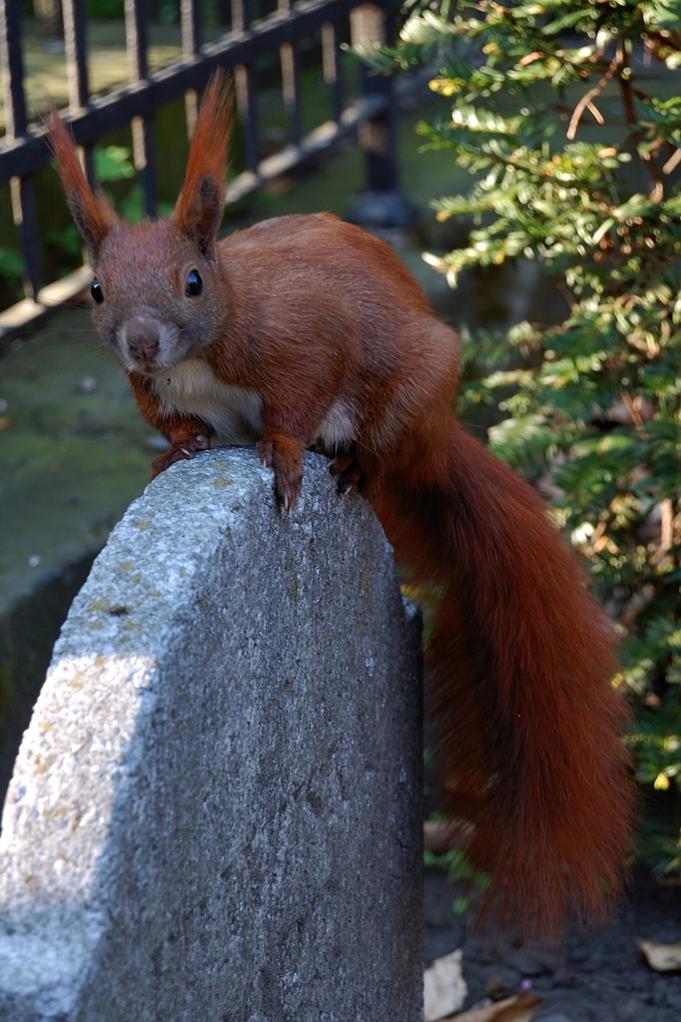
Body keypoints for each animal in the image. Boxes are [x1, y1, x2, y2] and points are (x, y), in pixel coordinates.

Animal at [48, 74, 633, 935]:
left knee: (381, 449)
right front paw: (173, 454)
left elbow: (296, 402)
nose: (142, 343)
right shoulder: (156, 392)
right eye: (95, 289)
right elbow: (178, 427)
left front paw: (286, 458)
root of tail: (439, 438)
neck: (204, 356)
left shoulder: (303, 342)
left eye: (192, 281)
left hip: (408, 396)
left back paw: (353, 465)